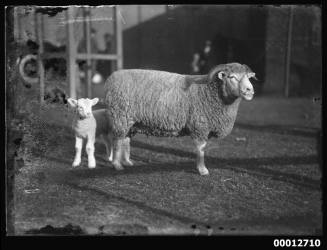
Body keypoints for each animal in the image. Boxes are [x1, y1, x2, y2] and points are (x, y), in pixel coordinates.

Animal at [104, 62, 256, 175]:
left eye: (248, 77)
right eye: (232, 77)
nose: (250, 90)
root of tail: (111, 78)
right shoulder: (200, 125)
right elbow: (201, 149)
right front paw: (202, 170)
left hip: (130, 121)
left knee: (125, 140)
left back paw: (127, 162)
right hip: (120, 116)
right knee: (117, 141)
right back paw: (117, 165)